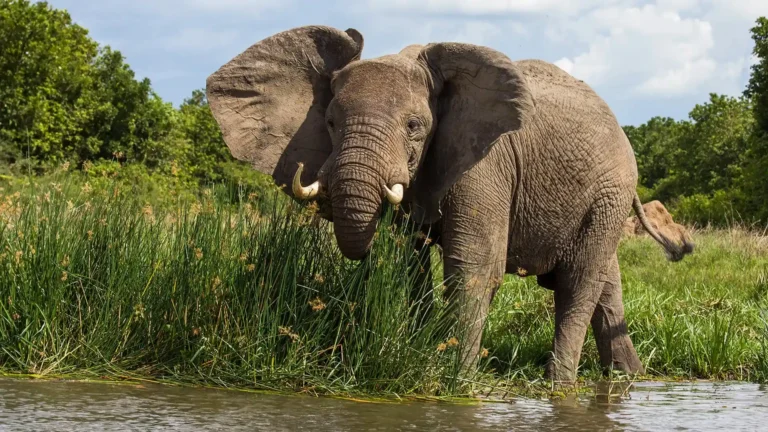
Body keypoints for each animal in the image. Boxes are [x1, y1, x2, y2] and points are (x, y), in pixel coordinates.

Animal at [205, 25, 693, 383]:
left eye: (414, 126)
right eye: (328, 121)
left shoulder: (484, 162)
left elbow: (473, 266)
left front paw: (454, 382)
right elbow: (410, 266)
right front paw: (417, 353)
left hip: (610, 190)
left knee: (578, 283)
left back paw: (561, 386)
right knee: (605, 282)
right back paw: (628, 379)